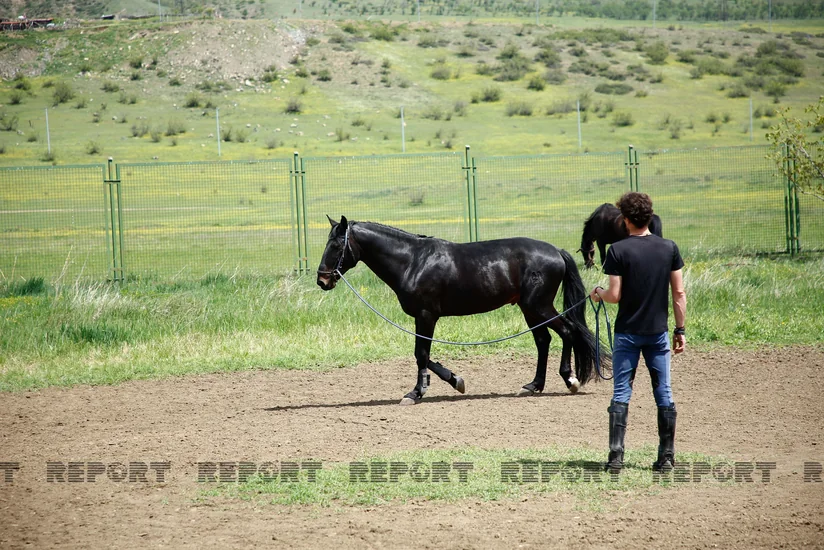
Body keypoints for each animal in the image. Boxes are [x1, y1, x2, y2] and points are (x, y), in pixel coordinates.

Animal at [316, 216, 608, 405]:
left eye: (336, 245)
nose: (322, 280)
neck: (413, 261)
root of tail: (556, 251)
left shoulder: (426, 315)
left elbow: (421, 354)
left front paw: (417, 392)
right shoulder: (424, 317)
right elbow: (425, 355)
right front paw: (454, 380)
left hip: (540, 306)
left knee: (567, 332)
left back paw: (570, 380)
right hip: (530, 310)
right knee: (543, 340)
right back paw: (533, 385)